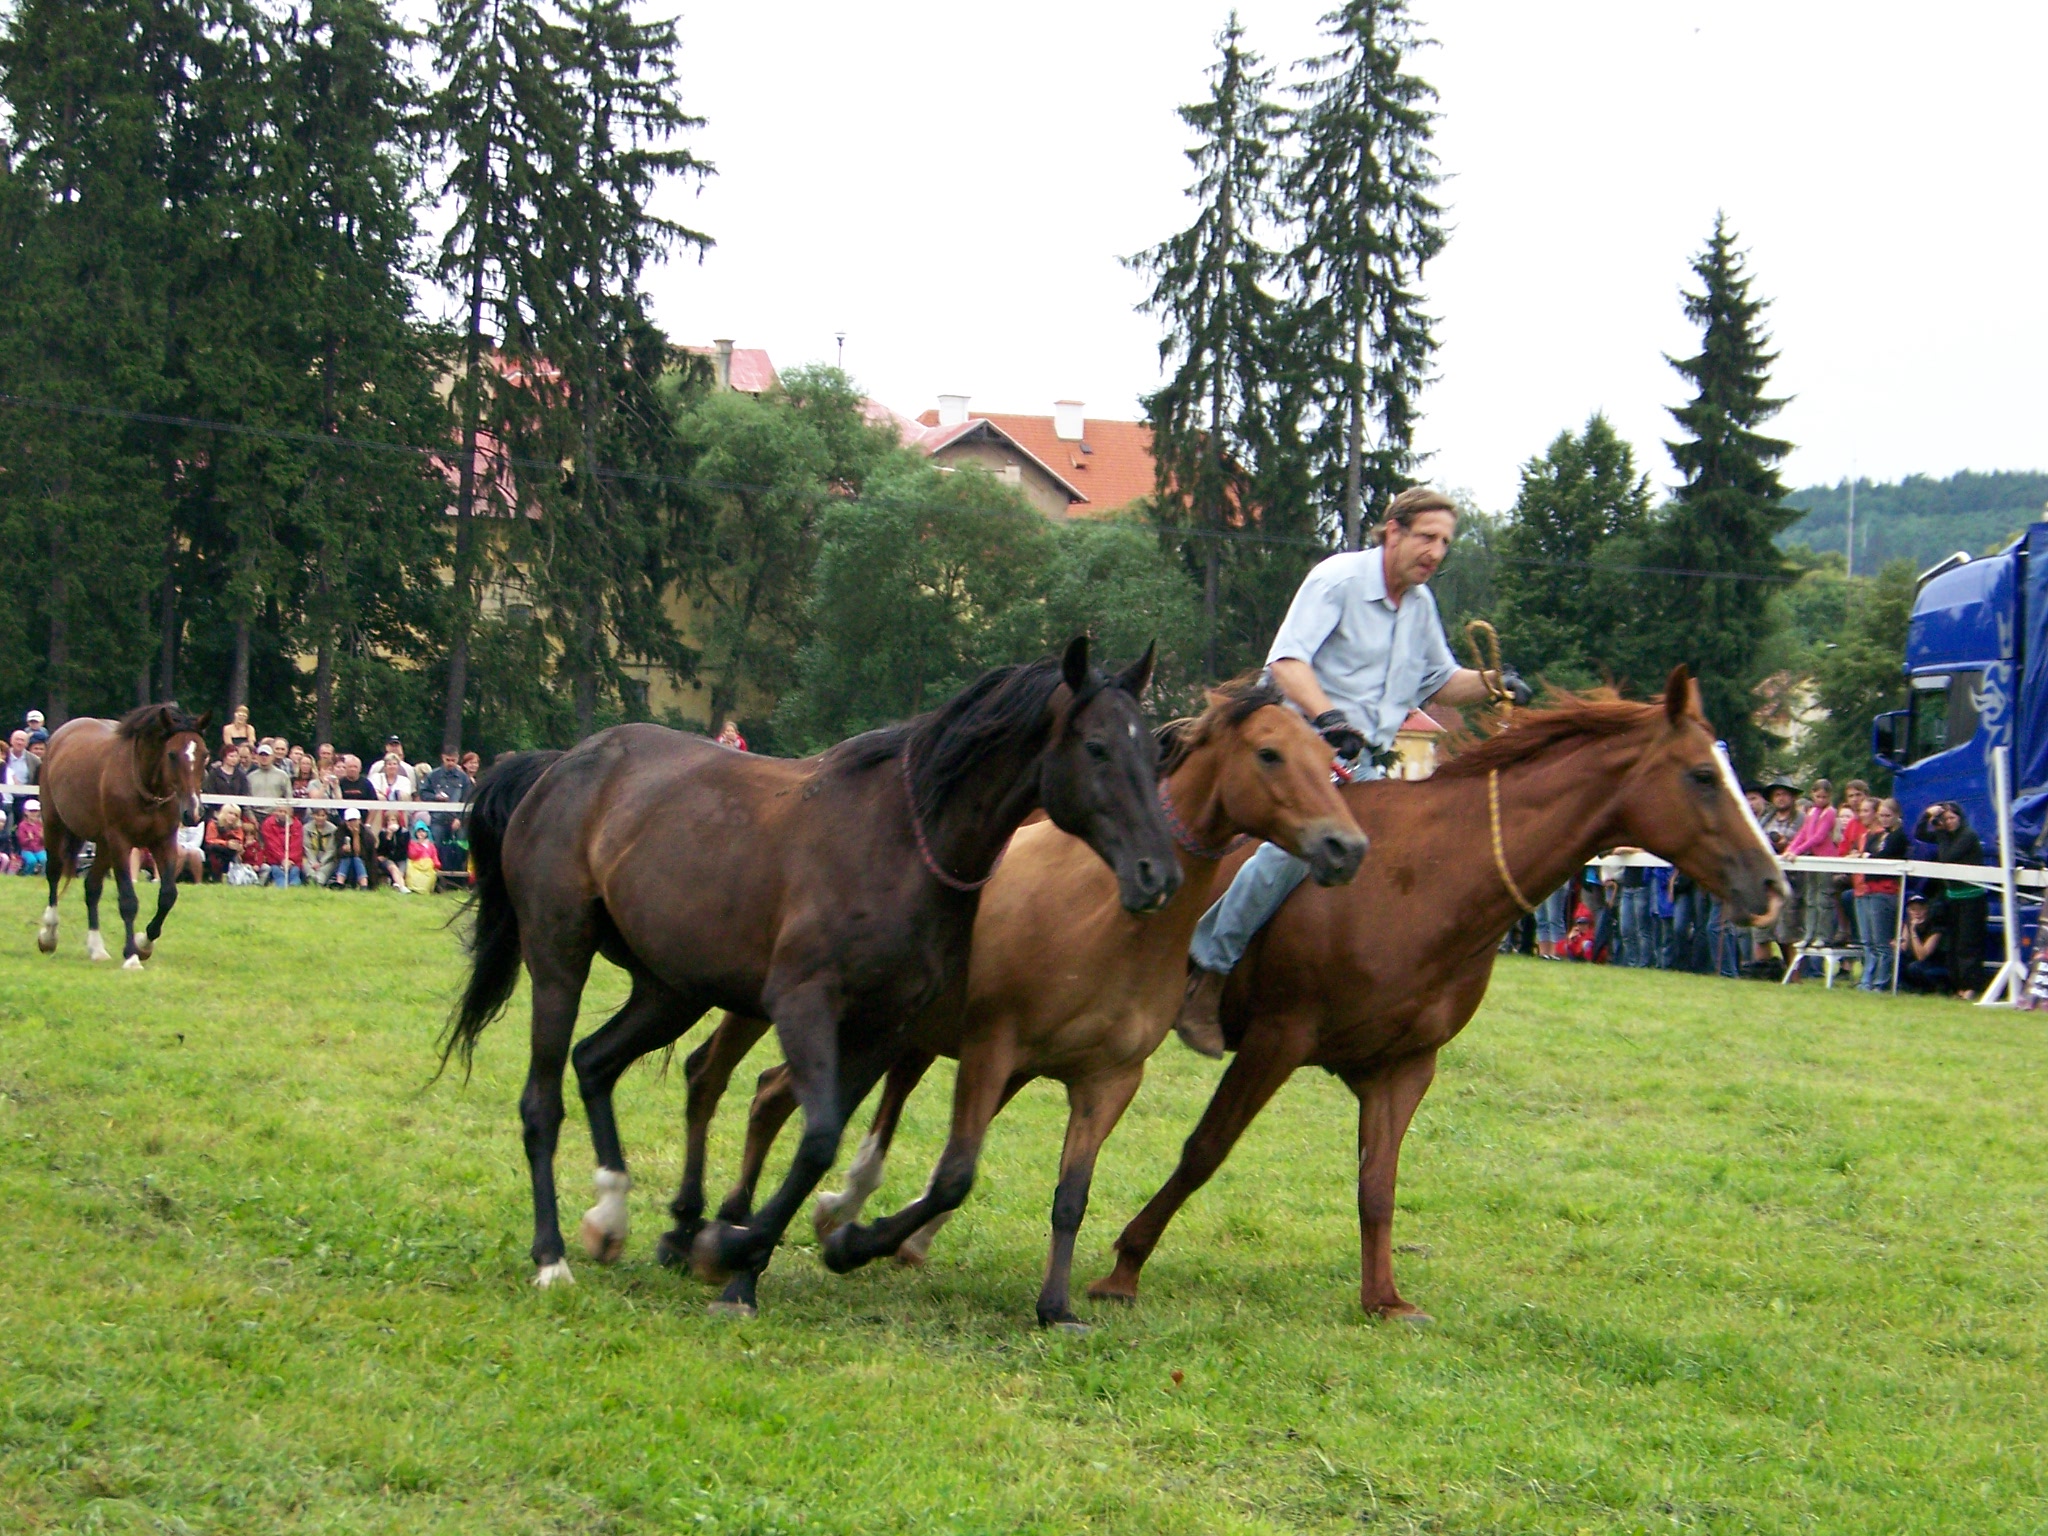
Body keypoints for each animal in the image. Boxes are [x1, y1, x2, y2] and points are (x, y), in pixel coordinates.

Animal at [37, 700, 211, 966]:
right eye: (172, 754)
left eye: (204, 754)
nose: (193, 812)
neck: (147, 789)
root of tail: (60, 735)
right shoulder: (121, 842)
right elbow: (128, 900)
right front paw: (131, 955)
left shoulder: (164, 841)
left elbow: (168, 896)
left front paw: (144, 943)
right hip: (54, 824)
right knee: (54, 872)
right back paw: (49, 934)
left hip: (103, 844)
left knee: (92, 886)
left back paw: (97, 948)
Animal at [448, 638, 1187, 1310]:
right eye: (1097, 748)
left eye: (1155, 756)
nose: (1158, 874)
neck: (901, 842)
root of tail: (560, 765)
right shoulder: (804, 1003)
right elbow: (820, 1135)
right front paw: (729, 1253)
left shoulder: (882, 1027)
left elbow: (831, 1147)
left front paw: (752, 1260)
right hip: (559, 959)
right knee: (543, 1100)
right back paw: (553, 1257)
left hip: (670, 990)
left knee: (597, 1061)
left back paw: (612, 1217)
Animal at [679, 671, 1368, 1327]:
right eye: (1270, 754)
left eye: (1326, 757)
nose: (1346, 847)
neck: (1099, 914)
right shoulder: (991, 1048)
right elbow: (953, 1178)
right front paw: (851, 1242)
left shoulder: (1108, 1079)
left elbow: (1071, 1197)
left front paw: (1056, 1307)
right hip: (775, 1008)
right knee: (732, 1082)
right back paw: (719, 1235)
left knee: (772, 1093)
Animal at [1089, 667, 1794, 1327]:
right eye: (1703, 775)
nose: (1772, 886)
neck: (1426, 875)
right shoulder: (1276, 1040)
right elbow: (1204, 1150)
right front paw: (1124, 1269)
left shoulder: (1403, 1065)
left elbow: (1378, 1183)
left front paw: (1384, 1299)